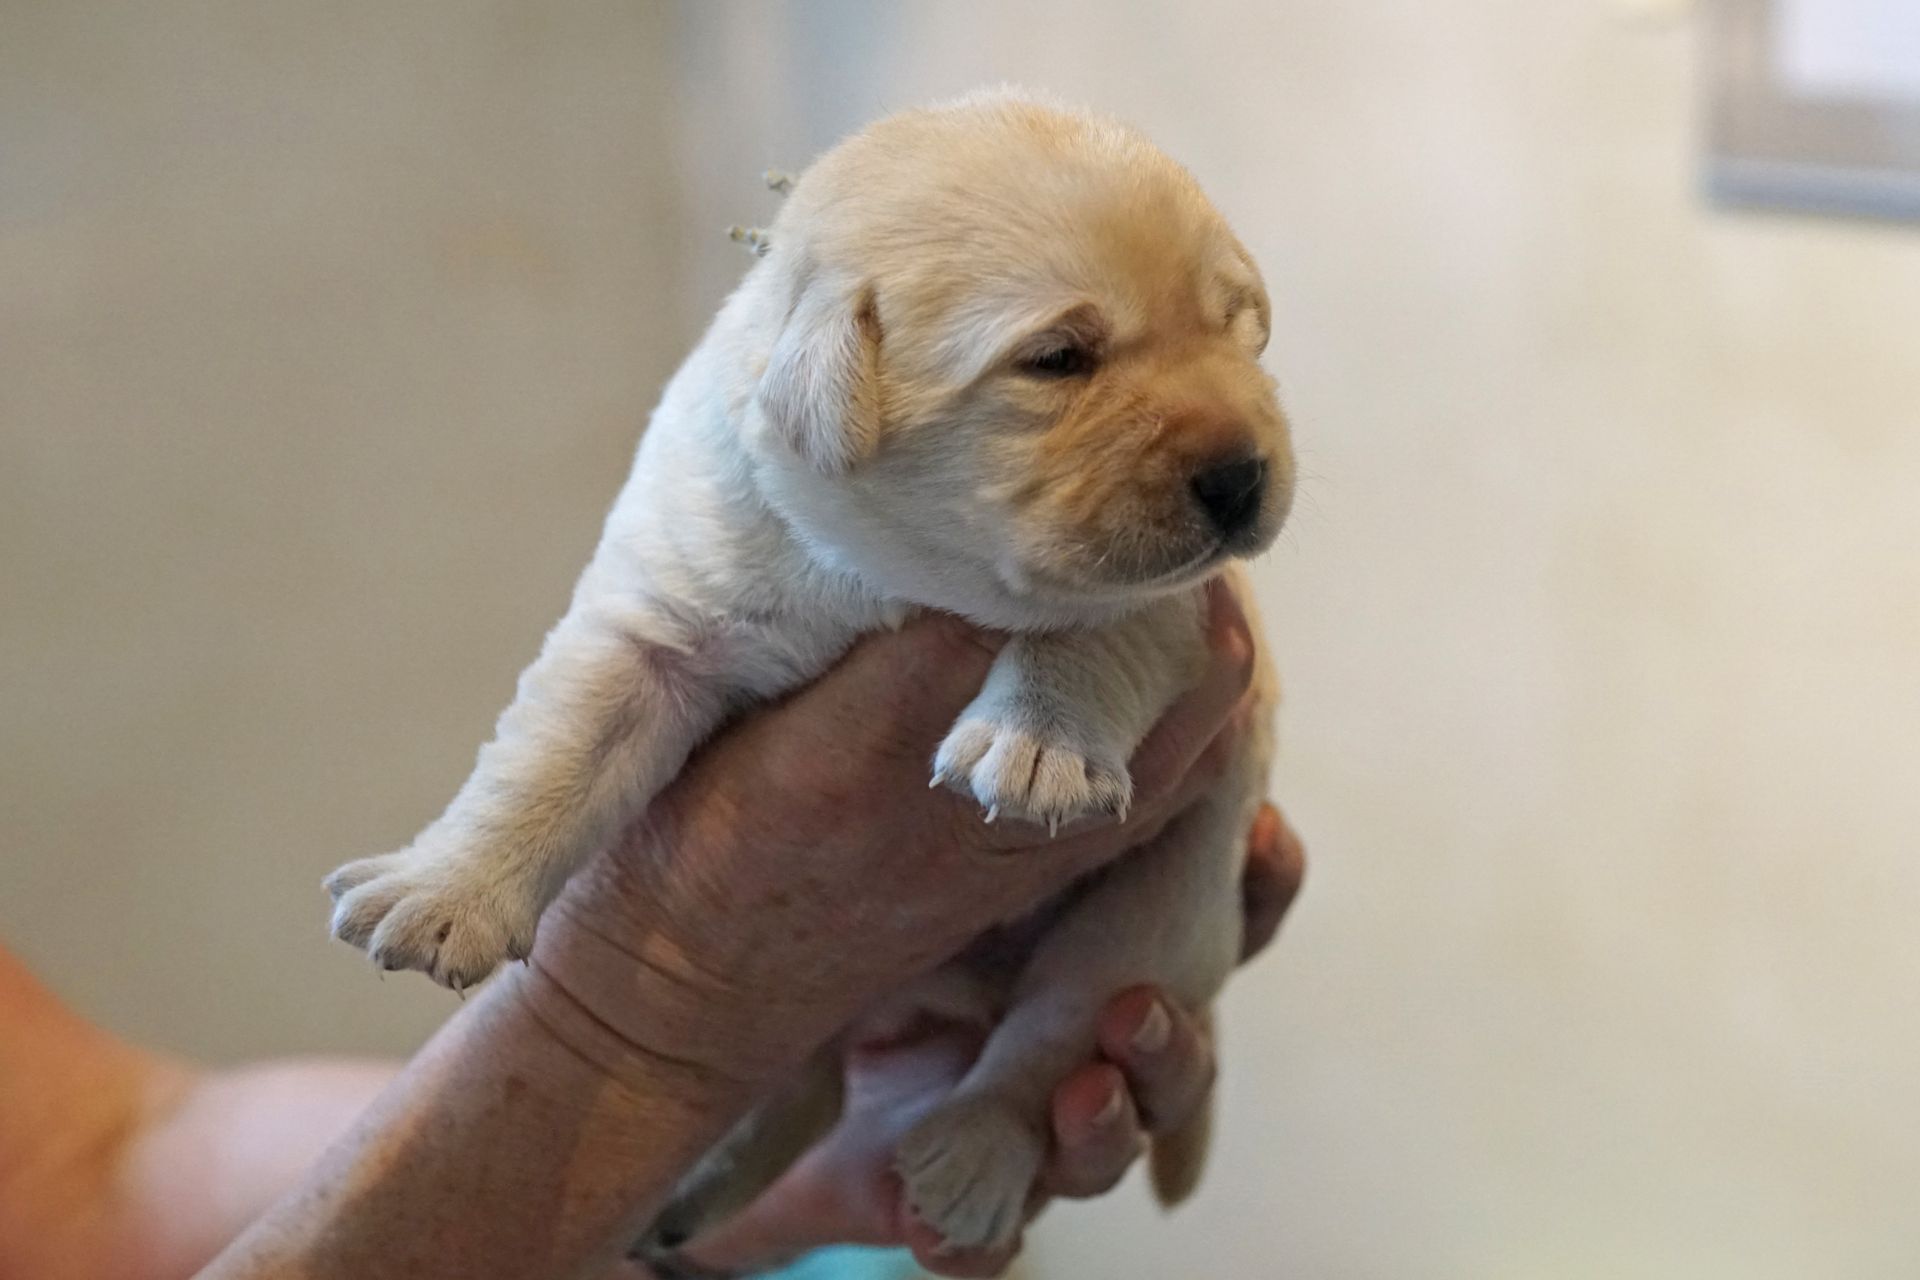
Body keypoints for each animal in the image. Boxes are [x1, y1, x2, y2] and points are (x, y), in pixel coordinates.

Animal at [325, 89, 1293, 1256]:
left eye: (1236, 327)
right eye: (1060, 357)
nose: (1244, 476)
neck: (888, 568)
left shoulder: (1179, 607)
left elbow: (1086, 629)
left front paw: (1036, 740)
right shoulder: (658, 611)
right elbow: (554, 754)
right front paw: (442, 889)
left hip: (1163, 916)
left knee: (1050, 1036)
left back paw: (971, 1159)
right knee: (803, 1079)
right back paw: (698, 1190)